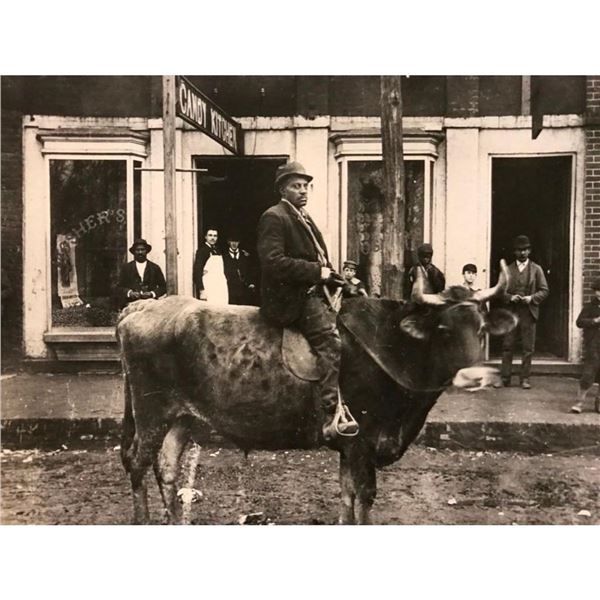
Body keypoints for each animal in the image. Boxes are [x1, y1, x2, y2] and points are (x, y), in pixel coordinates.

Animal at [117, 260, 516, 524]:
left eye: (481, 328)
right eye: (444, 329)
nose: (477, 377)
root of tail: (145, 304)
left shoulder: (351, 447)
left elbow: (346, 496)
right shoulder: (362, 441)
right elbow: (364, 498)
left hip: (181, 418)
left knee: (166, 467)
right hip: (151, 412)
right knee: (137, 461)